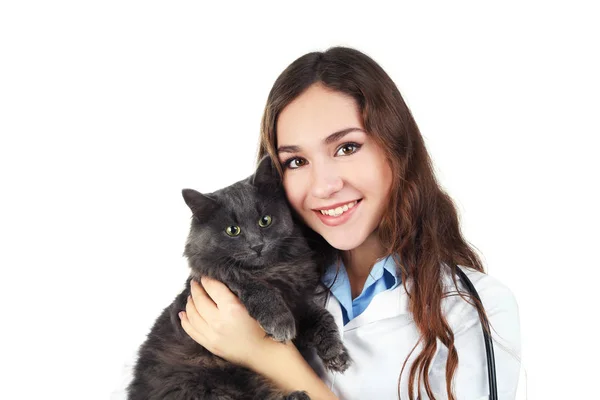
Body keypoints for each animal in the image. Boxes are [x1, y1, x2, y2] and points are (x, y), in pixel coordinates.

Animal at [128, 157, 350, 400]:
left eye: (265, 221)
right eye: (232, 230)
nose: (257, 246)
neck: (273, 270)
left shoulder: (298, 302)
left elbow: (322, 316)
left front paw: (336, 353)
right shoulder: (216, 281)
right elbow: (252, 285)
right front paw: (280, 322)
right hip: (210, 383)